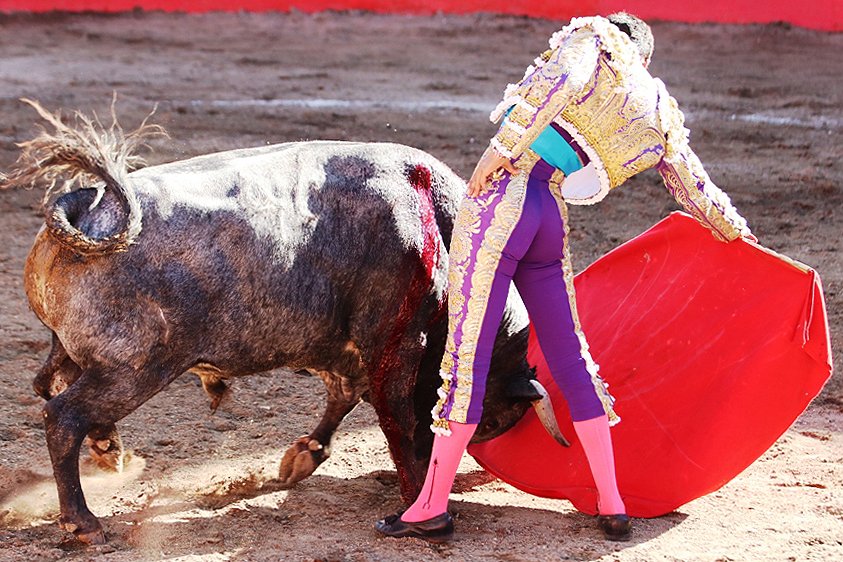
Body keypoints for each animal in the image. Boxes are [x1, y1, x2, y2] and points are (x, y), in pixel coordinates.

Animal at [1, 100, 566, 545]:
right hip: (136, 368)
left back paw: (106, 449)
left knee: (52, 387)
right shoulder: (396, 340)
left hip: (83, 355)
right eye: (491, 422)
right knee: (62, 416)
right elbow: (399, 417)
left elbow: (344, 397)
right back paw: (83, 521)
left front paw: (303, 457)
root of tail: (86, 202)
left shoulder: (343, 352)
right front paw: (420, 510)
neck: (438, 220)